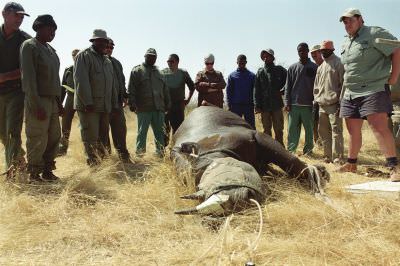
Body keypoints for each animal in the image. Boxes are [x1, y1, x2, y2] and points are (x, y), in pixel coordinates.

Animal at [170, 105, 330, 215]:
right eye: (198, 187)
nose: (237, 199)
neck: (212, 155)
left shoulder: (255, 135)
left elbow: (289, 161)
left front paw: (314, 178)